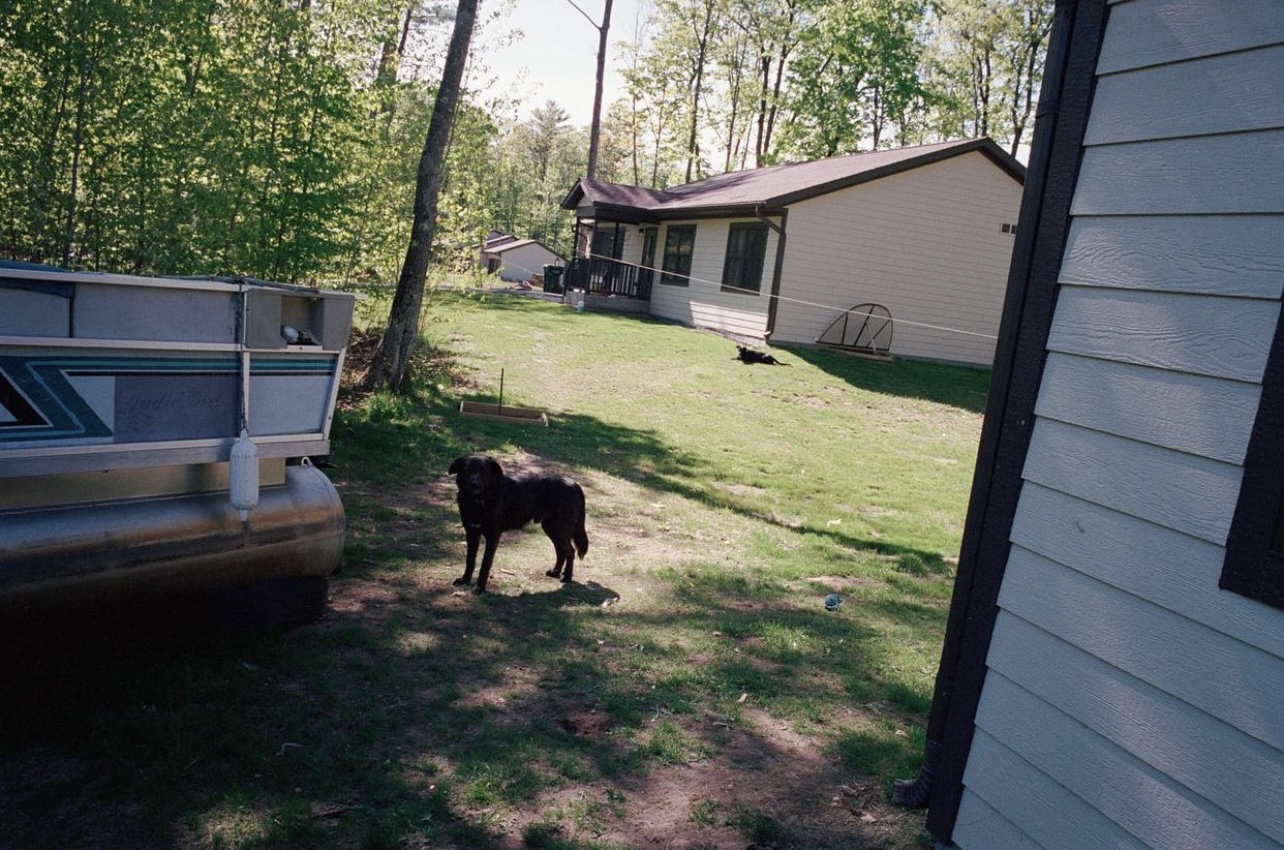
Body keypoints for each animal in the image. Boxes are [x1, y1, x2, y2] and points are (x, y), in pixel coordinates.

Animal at [449, 457, 588, 595]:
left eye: (484, 471)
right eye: (467, 469)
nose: (475, 484)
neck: (479, 502)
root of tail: (574, 483)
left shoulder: (492, 536)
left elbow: (485, 564)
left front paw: (480, 587)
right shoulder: (471, 533)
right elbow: (470, 560)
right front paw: (465, 579)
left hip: (559, 529)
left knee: (570, 551)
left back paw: (567, 576)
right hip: (552, 529)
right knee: (561, 551)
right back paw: (555, 572)